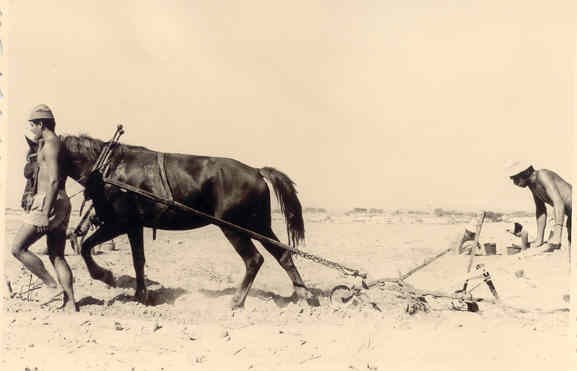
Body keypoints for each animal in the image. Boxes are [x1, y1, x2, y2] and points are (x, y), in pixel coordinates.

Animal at [60, 135, 318, 310]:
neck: (108, 168)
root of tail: (257, 171)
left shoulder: (118, 224)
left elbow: (86, 247)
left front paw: (105, 275)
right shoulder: (134, 226)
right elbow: (138, 260)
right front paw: (141, 296)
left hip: (234, 228)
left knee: (254, 260)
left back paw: (237, 300)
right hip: (259, 226)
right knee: (283, 255)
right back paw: (304, 295)